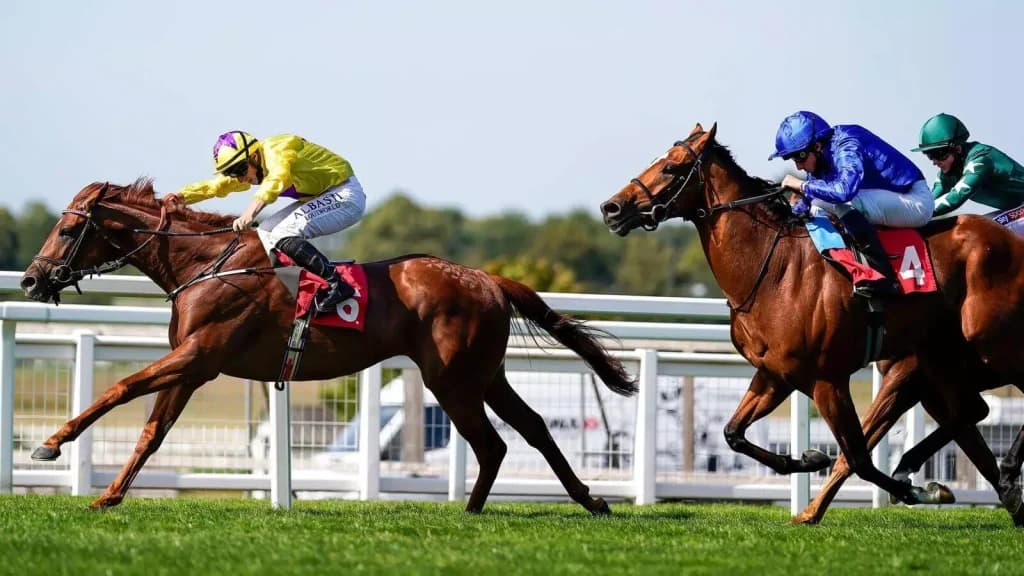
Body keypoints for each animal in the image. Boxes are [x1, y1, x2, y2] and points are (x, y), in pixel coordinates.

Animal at [20, 179, 637, 513]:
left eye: (69, 229)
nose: (30, 279)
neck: (206, 265)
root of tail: (487, 279)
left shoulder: (200, 356)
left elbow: (122, 387)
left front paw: (50, 444)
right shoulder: (193, 367)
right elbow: (152, 431)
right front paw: (108, 495)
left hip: (452, 380)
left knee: (492, 444)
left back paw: (472, 510)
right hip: (486, 374)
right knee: (530, 428)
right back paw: (590, 500)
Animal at [599, 123, 1024, 520]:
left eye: (671, 167)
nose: (611, 208)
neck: (774, 268)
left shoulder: (828, 380)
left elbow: (858, 457)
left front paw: (917, 490)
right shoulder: (775, 374)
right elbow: (733, 433)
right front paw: (807, 460)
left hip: (987, 343)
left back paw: (1003, 474)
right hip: (942, 361)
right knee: (970, 412)